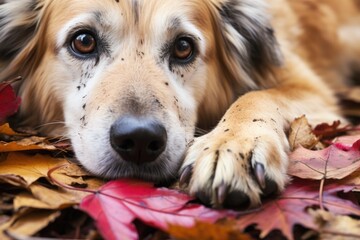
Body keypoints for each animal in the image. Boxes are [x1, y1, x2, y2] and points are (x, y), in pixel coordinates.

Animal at [0, 0, 358, 209]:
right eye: (84, 41)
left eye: (184, 47)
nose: (139, 140)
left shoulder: (311, 88)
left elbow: (257, 95)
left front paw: (231, 147)